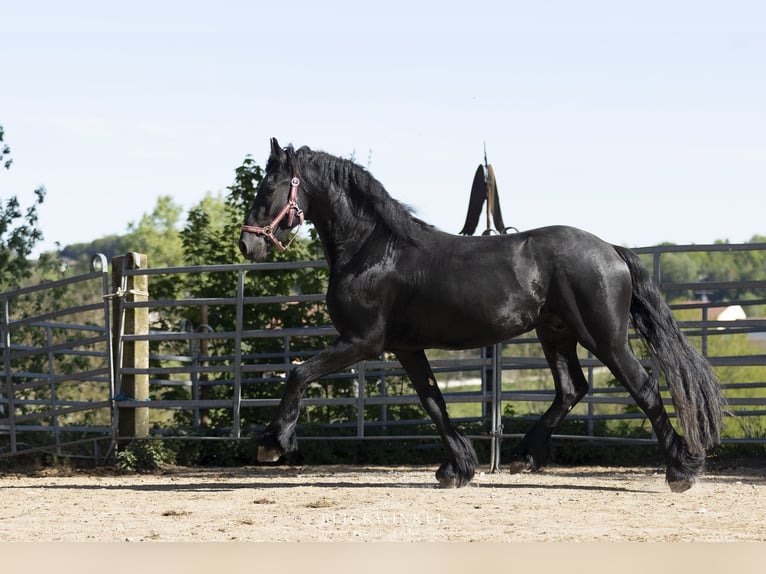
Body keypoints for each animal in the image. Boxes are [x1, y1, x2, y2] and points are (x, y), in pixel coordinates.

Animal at [238, 138, 725, 492]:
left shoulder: (362, 342)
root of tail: (611, 250)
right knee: (571, 389)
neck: (373, 250)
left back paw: (681, 472)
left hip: (603, 336)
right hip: (556, 334)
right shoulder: (406, 347)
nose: (248, 243)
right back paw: (523, 456)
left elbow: (298, 374)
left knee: (643, 388)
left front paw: (272, 444)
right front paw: (456, 469)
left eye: (268, 188)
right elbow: (433, 402)